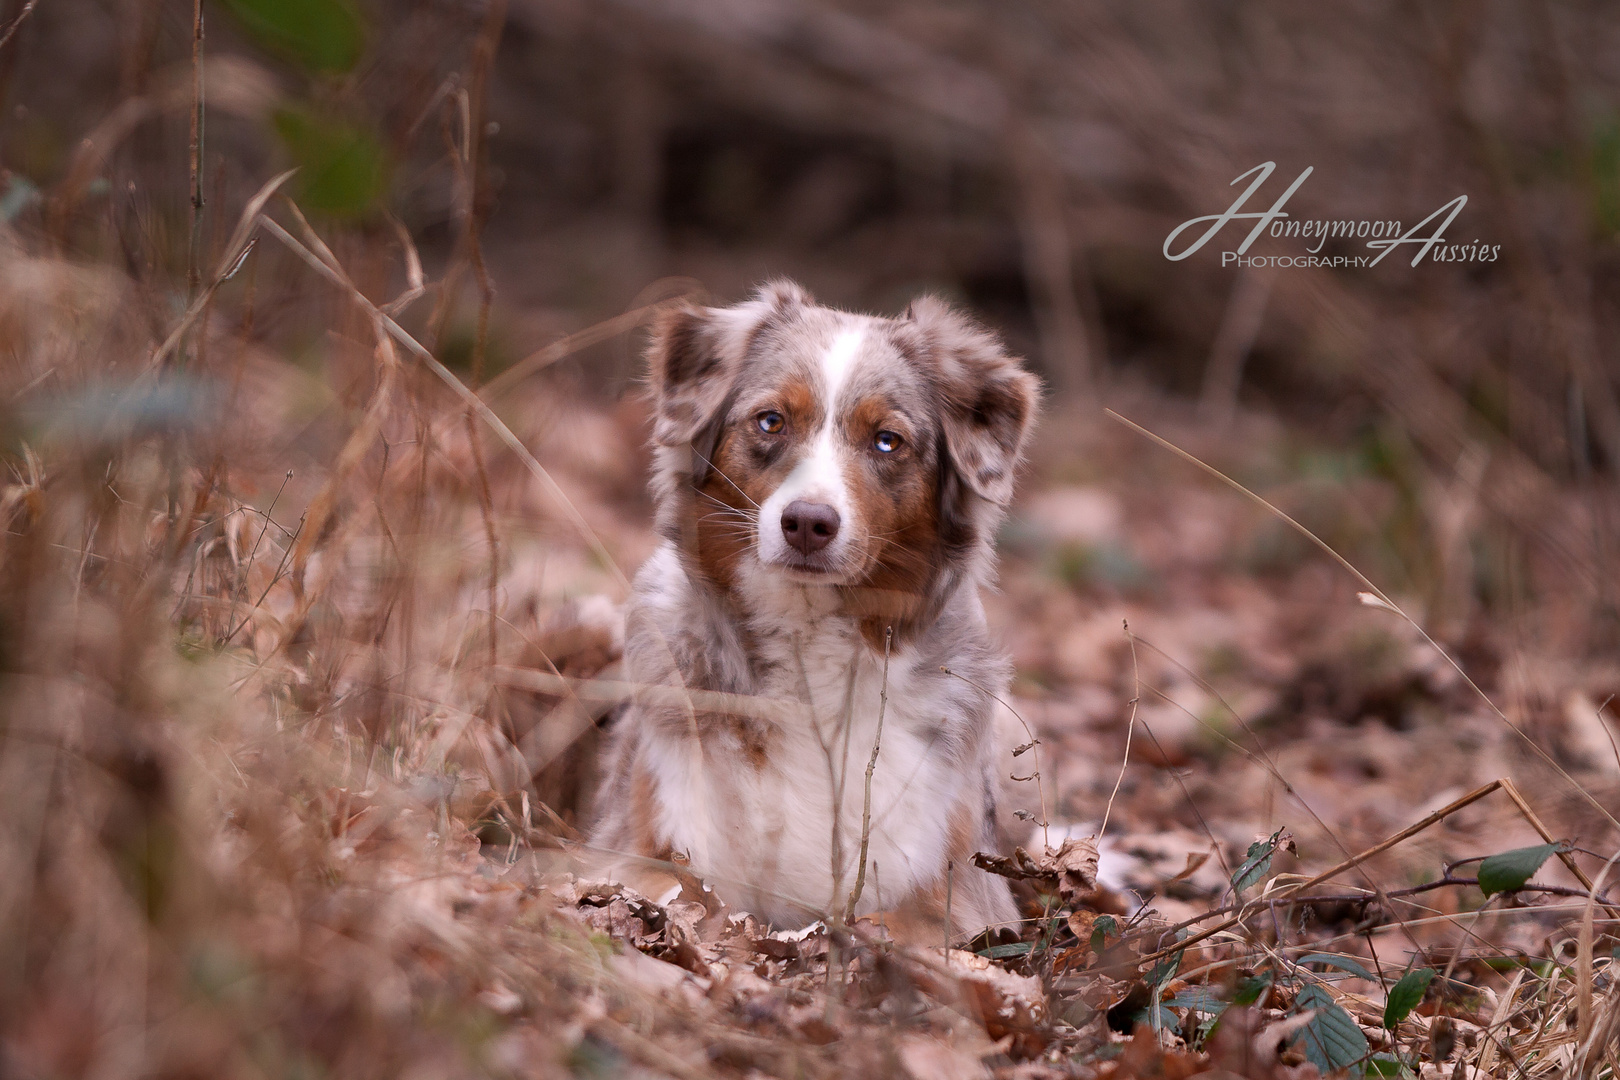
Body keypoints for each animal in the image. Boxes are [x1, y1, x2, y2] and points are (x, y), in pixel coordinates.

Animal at [592, 281, 1036, 945]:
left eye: (887, 440)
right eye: (771, 421)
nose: (806, 522)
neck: (808, 641)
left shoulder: (961, 901)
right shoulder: (635, 850)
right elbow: (688, 898)